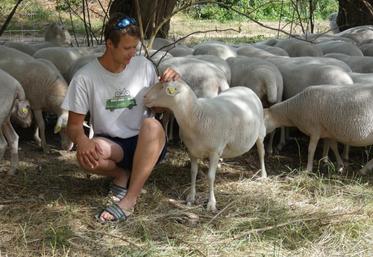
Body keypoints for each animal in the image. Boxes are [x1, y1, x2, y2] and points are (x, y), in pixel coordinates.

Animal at [144, 79, 266, 210]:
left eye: (162, 87)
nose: (144, 97)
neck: (197, 116)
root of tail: (245, 88)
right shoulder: (192, 150)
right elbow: (193, 172)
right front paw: (191, 196)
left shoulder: (214, 151)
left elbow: (210, 176)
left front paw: (211, 203)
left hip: (260, 132)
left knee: (261, 152)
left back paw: (263, 175)